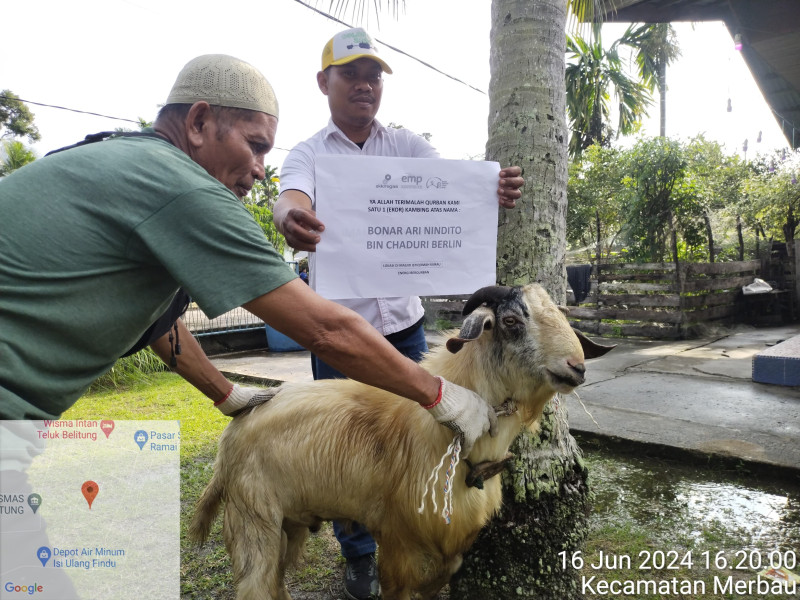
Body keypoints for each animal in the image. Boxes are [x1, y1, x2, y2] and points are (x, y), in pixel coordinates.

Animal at [191, 284, 616, 596]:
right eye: (511, 320)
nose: (576, 367)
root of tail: (233, 434)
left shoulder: (452, 544)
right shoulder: (399, 544)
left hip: (290, 523)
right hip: (253, 522)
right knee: (256, 586)